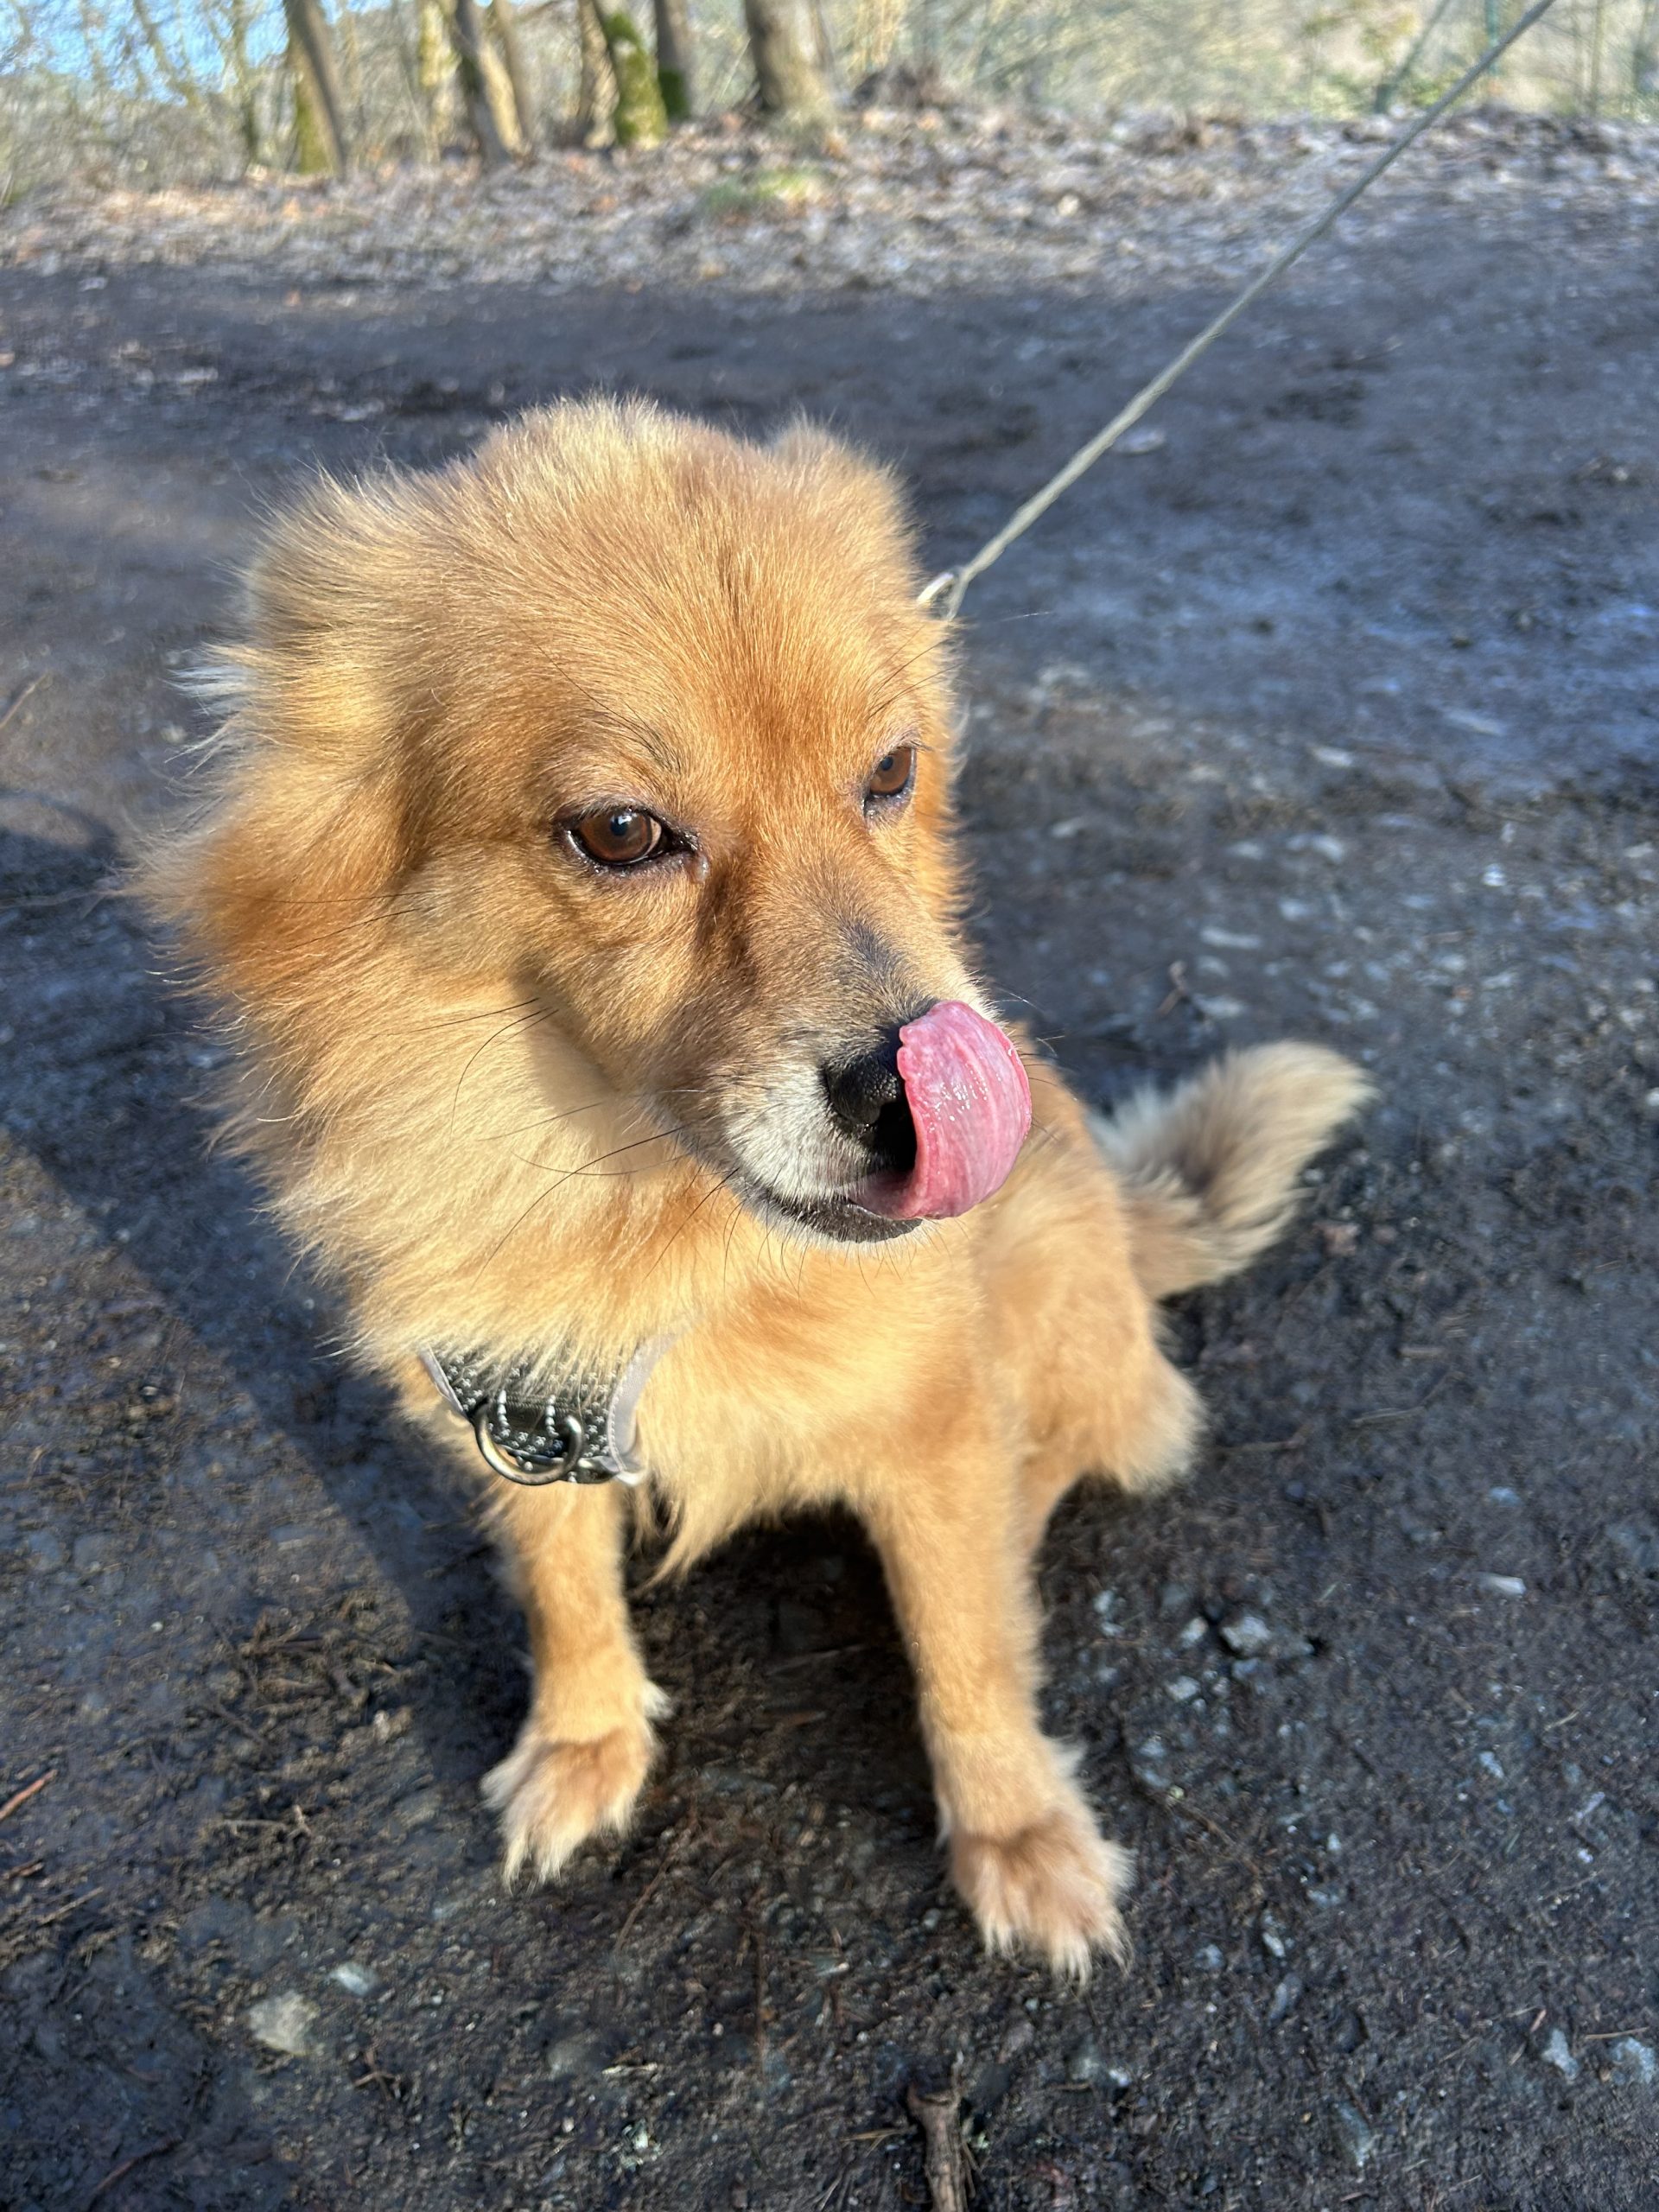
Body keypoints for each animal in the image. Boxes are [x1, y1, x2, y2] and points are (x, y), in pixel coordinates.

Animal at [144, 398, 1368, 1974]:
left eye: (891, 776)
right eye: (619, 833)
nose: (929, 1094)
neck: (646, 1225)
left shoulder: (930, 1423)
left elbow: (968, 1649)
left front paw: (1015, 1829)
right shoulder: (509, 1394)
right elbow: (562, 1581)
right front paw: (585, 1736)